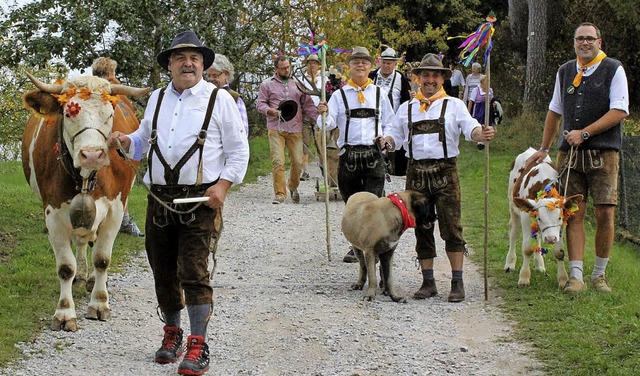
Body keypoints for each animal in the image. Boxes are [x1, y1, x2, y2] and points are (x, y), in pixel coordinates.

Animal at [21, 72, 149, 330]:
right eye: (69, 113)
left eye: (109, 115)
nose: (91, 155)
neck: (85, 177)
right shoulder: (53, 214)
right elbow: (65, 267)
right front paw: (64, 312)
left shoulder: (115, 211)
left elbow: (102, 259)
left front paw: (99, 303)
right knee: (80, 243)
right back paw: (81, 276)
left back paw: (92, 280)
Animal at [508, 147, 584, 288]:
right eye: (539, 218)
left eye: (559, 218)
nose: (550, 239)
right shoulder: (526, 216)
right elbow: (527, 248)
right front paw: (524, 278)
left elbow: (559, 251)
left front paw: (563, 279)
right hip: (513, 206)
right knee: (514, 233)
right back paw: (510, 263)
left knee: (536, 235)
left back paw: (539, 265)